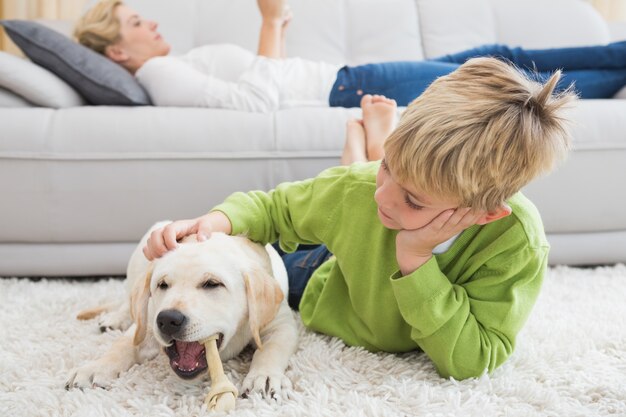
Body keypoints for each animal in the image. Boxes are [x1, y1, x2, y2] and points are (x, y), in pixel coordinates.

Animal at [66, 219, 298, 398]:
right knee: (130, 300)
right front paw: (95, 368)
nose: (168, 320)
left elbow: (271, 349)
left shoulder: (281, 323)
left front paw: (264, 376)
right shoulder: (148, 320)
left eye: (212, 284)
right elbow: (122, 345)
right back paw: (116, 318)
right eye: (162, 285)